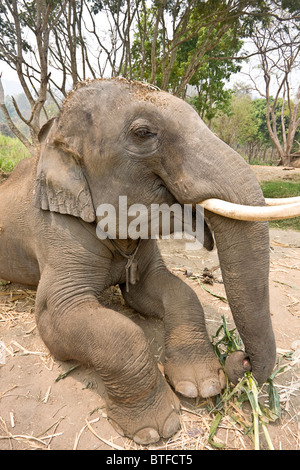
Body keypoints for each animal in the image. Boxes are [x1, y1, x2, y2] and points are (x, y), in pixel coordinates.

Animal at [0, 79, 278, 446]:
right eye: (143, 133)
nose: (241, 360)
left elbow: (166, 291)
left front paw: (201, 384)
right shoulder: (56, 229)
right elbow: (62, 315)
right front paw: (155, 428)